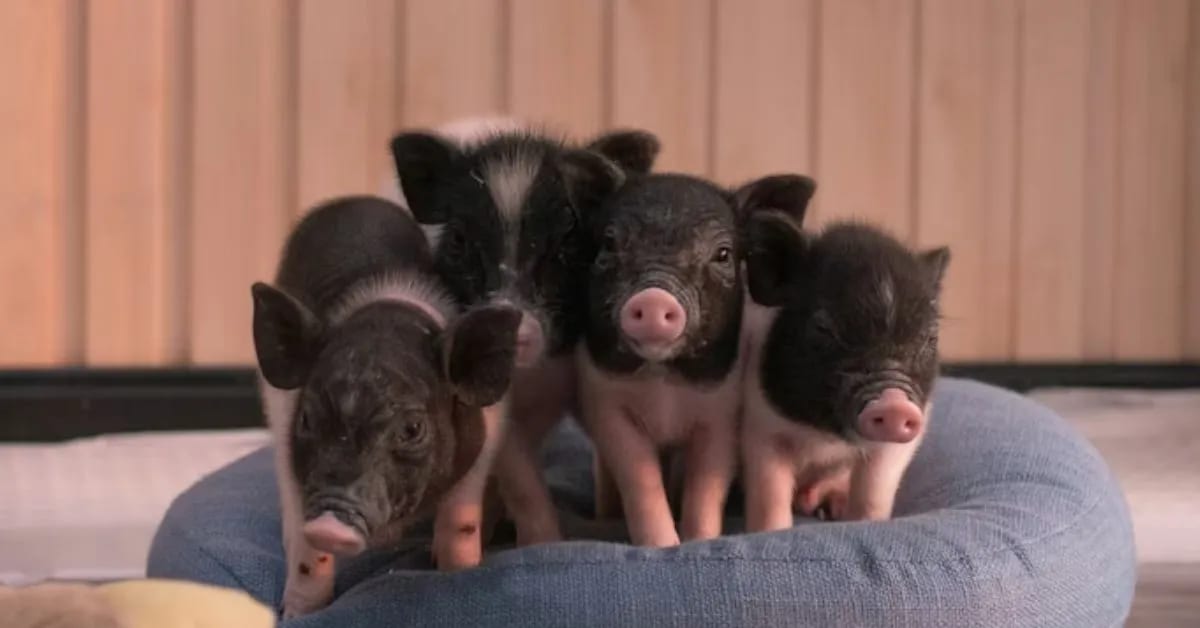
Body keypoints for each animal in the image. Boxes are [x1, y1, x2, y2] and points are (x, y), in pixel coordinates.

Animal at [251, 195, 521, 617]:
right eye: (308, 418)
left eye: (412, 428)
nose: (331, 521)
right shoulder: (291, 449)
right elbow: (308, 552)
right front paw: (298, 615)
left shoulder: (483, 446)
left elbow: (460, 524)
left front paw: (456, 573)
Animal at [575, 173, 816, 547]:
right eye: (610, 244)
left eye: (723, 253)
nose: (654, 298)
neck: (662, 384)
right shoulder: (606, 404)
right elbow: (639, 478)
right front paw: (662, 545)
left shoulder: (721, 413)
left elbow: (706, 485)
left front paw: (697, 541)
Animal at [741, 208, 950, 531]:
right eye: (824, 328)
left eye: (930, 338)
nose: (894, 405)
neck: (825, 437)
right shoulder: (761, 424)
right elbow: (769, 494)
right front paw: (770, 531)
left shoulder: (907, 434)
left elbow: (874, 491)